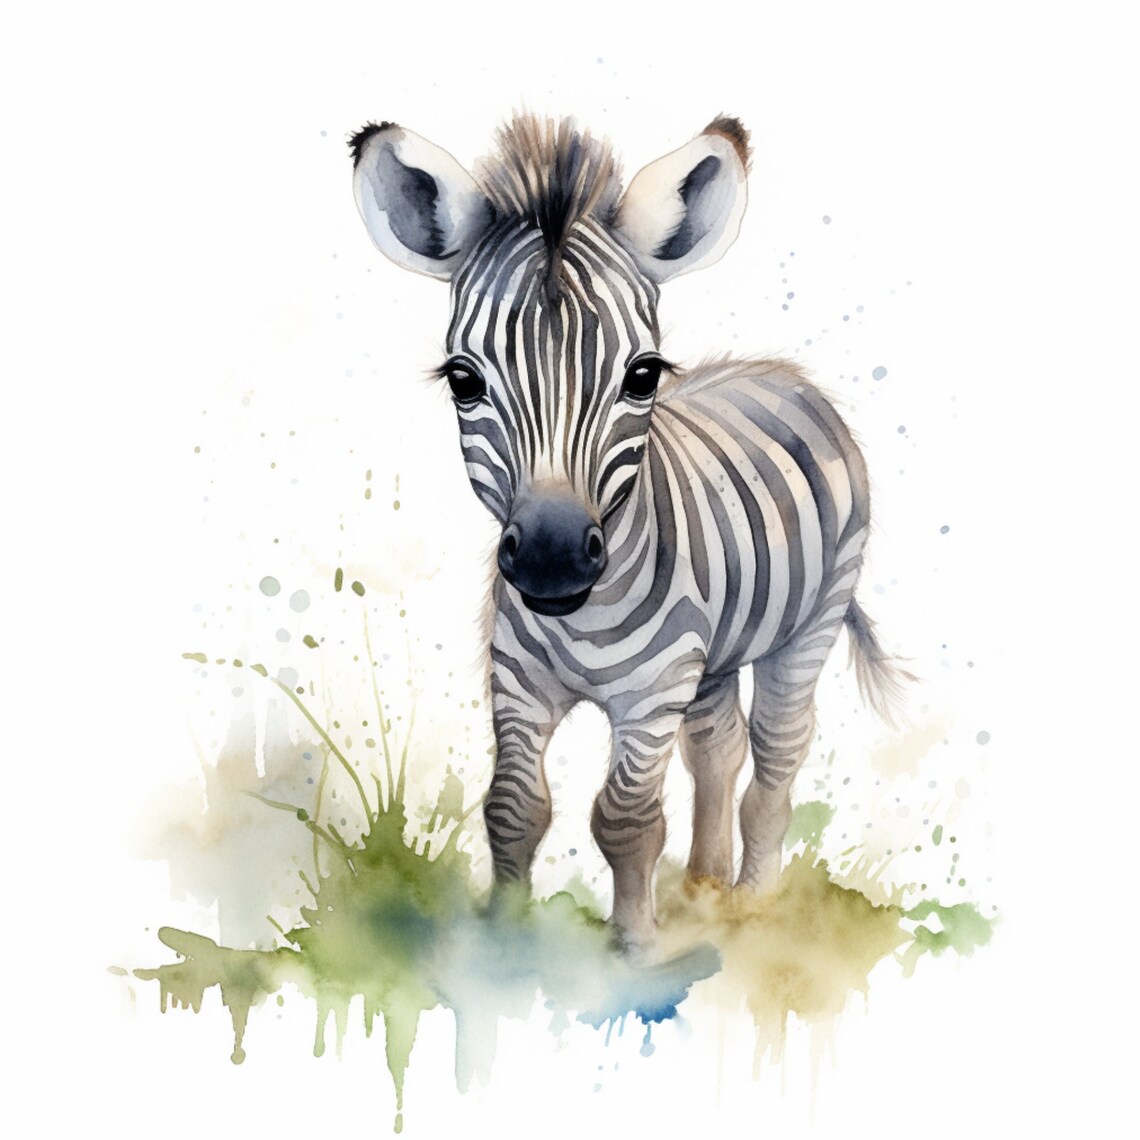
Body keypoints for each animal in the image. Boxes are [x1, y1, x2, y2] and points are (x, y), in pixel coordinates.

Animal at [349, 114, 907, 951]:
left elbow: (626, 818)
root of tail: (786, 375)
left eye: (643, 375)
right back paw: (703, 884)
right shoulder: (517, 682)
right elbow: (511, 810)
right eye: (463, 379)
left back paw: (750, 904)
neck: (580, 622)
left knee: (776, 755)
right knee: (718, 746)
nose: (550, 560)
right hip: (716, 651)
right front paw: (501, 944)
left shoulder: (653, 692)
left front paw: (634, 949)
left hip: (809, 622)